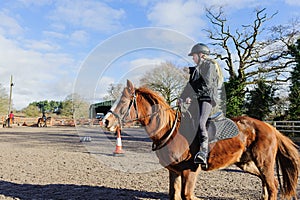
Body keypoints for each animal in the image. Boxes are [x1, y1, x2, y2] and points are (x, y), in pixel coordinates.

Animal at [103, 80, 300, 200]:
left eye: (123, 102)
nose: (105, 121)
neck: (171, 132)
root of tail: (270, 128)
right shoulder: (174, 172)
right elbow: (174, 194)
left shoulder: (190, 171)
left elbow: (187, 195)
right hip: (246, 163)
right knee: (268, 183)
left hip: (264, 162)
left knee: (273, 186)